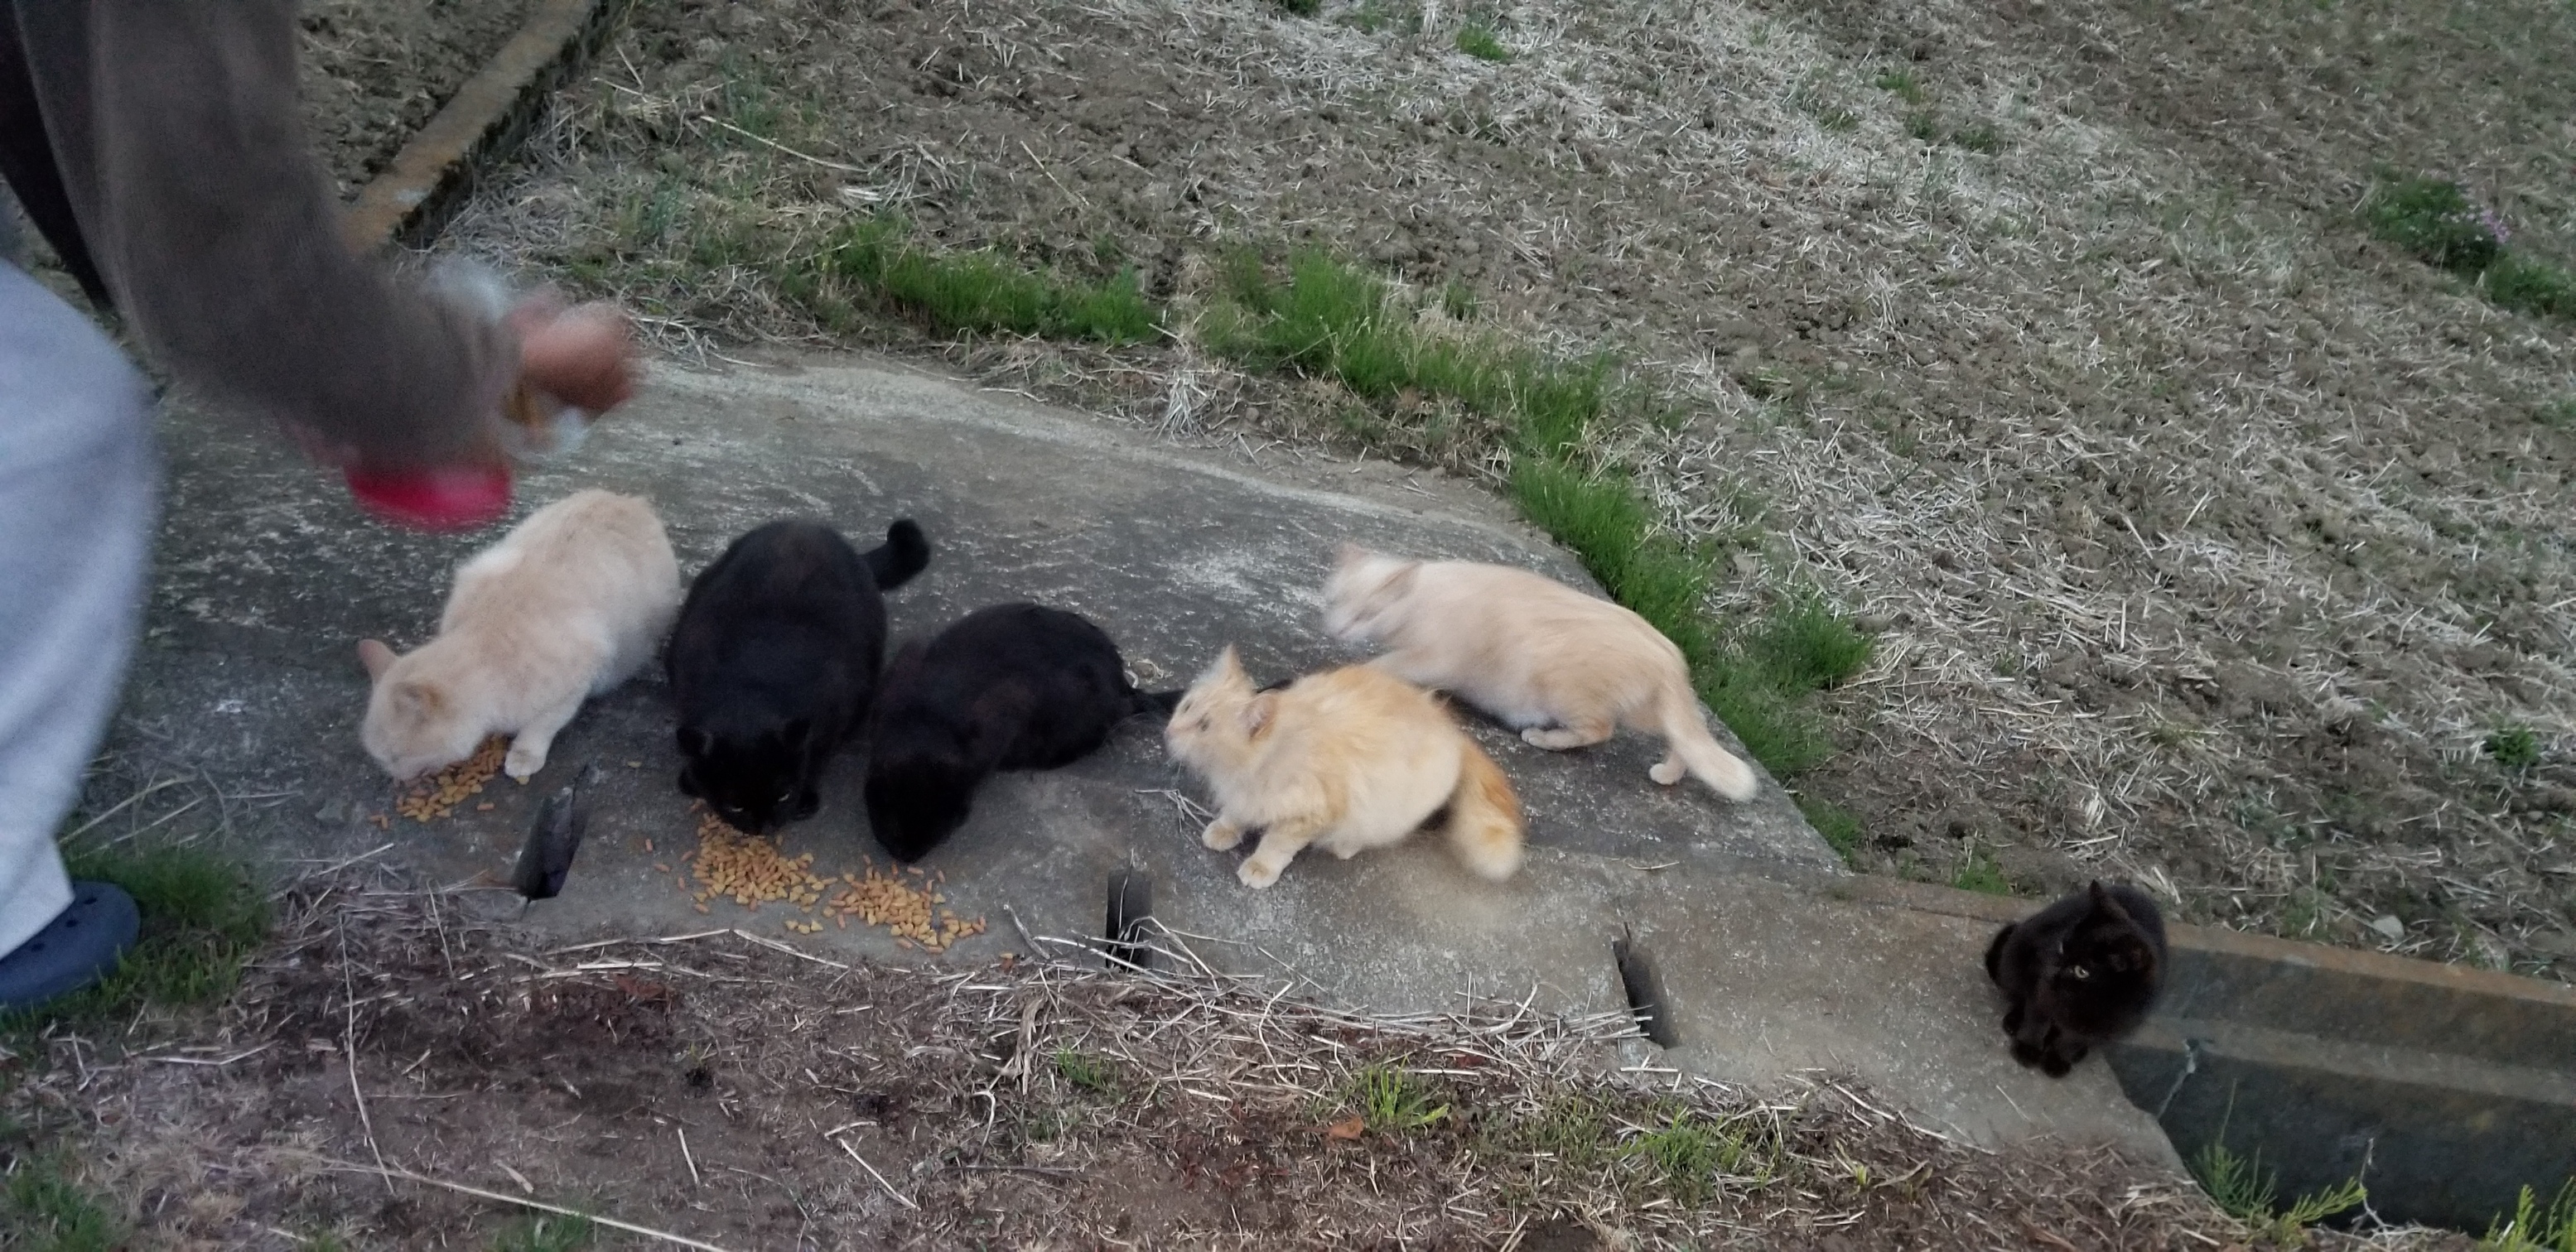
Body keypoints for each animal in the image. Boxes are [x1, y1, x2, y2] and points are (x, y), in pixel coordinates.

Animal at [358, 489, 680, 782]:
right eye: (383, 759)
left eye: (394, 757)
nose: (395, 779)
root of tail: (627, 499)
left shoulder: (576, 682)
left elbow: (540, 726)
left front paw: (524, 755)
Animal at [665, 517, 930, 834]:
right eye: (735, 806)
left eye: (784, 795)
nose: (764, 826)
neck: (750, 686)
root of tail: (810, 527)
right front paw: (691, 778)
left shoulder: (835, 711)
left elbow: (816, 758)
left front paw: (806, 796)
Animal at [1163, 646, 1524, 889]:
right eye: (1186, 707)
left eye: (1205, 727)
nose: (1170, 731)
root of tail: (1454, 732)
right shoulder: (1244, 796)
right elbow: (1236, 814)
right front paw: (1225, 830)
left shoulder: (1311, 814)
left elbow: (1277, 845)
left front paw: (1261, 867)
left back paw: (1345, 846)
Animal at [1321, 545, 1759, 801]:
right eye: (1336, 602)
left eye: (1366, 613)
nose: (1338, 628)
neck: (1424, 596)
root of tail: (1671, 652)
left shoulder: (1433, 659)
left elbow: (1383, 665)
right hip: (1646, 710)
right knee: (1685, 732)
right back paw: (1670, 772)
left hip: (1566, 692)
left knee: (1600, 730)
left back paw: (1544, 737)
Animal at [1983, 880, 2169, 1077]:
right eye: (2062, 946)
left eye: (2082, 971)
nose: (2052, 970)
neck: (2087, 1001)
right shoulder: (2043, 992)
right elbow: (2036, 1022)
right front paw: (2027, 1049)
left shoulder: (2100, 1027)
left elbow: (2071, 1042)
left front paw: (2057, 1060)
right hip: (2014, 958)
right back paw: (2014, 1021)